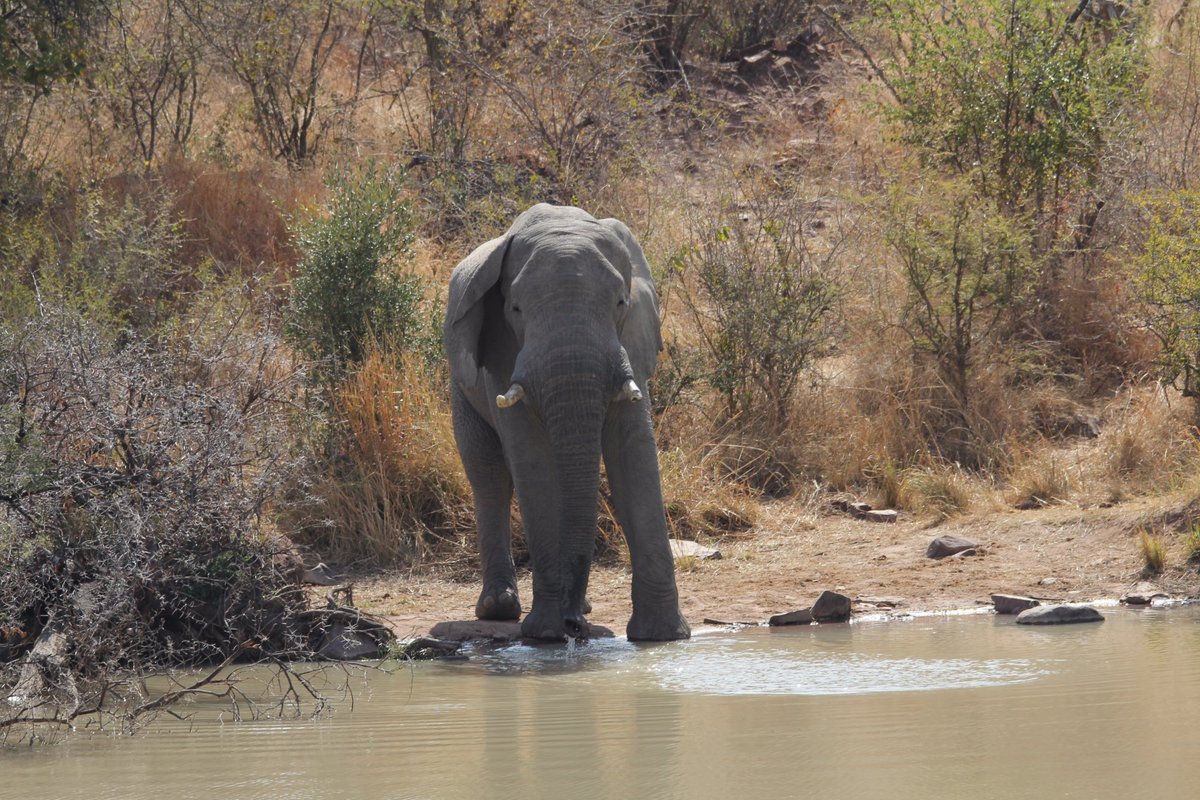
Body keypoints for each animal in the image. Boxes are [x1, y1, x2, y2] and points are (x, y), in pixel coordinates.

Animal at [444, 203, 691, 642]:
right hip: (460, 383)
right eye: (515, 309)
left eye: (621, 302)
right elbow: (532, 463)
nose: (574, 625)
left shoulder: (633, 342)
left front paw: (662, 637)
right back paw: (499, 607)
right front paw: (545, 633)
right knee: (487, 472)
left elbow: (633, 454)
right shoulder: (502, 353)